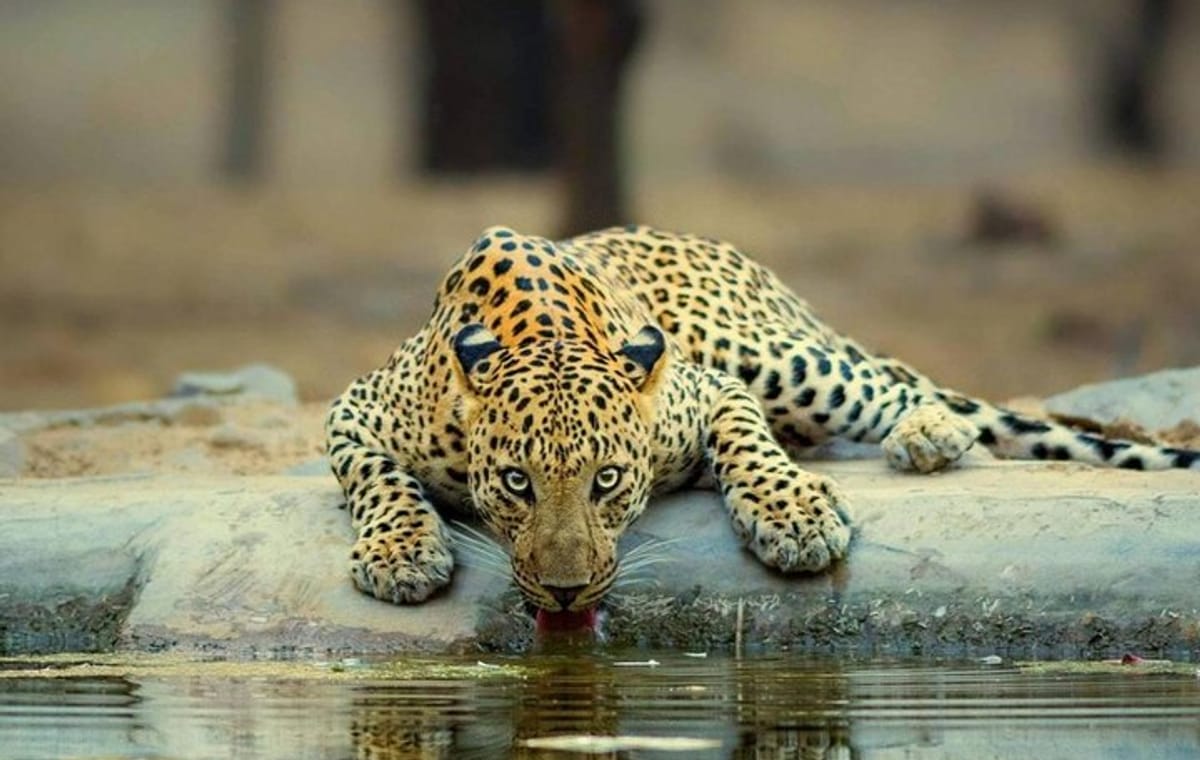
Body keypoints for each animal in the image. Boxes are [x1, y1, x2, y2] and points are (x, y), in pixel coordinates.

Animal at [326, 225, 1199, 615]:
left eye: (607, 480)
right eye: (516, 482)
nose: (568, 594)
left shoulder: (710, 389)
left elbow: (746, 442)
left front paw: (794, 518)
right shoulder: (354, 408)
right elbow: (377, 477)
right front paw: (403, 552)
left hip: (771, 355)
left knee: (891, 383)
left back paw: (928, 434)